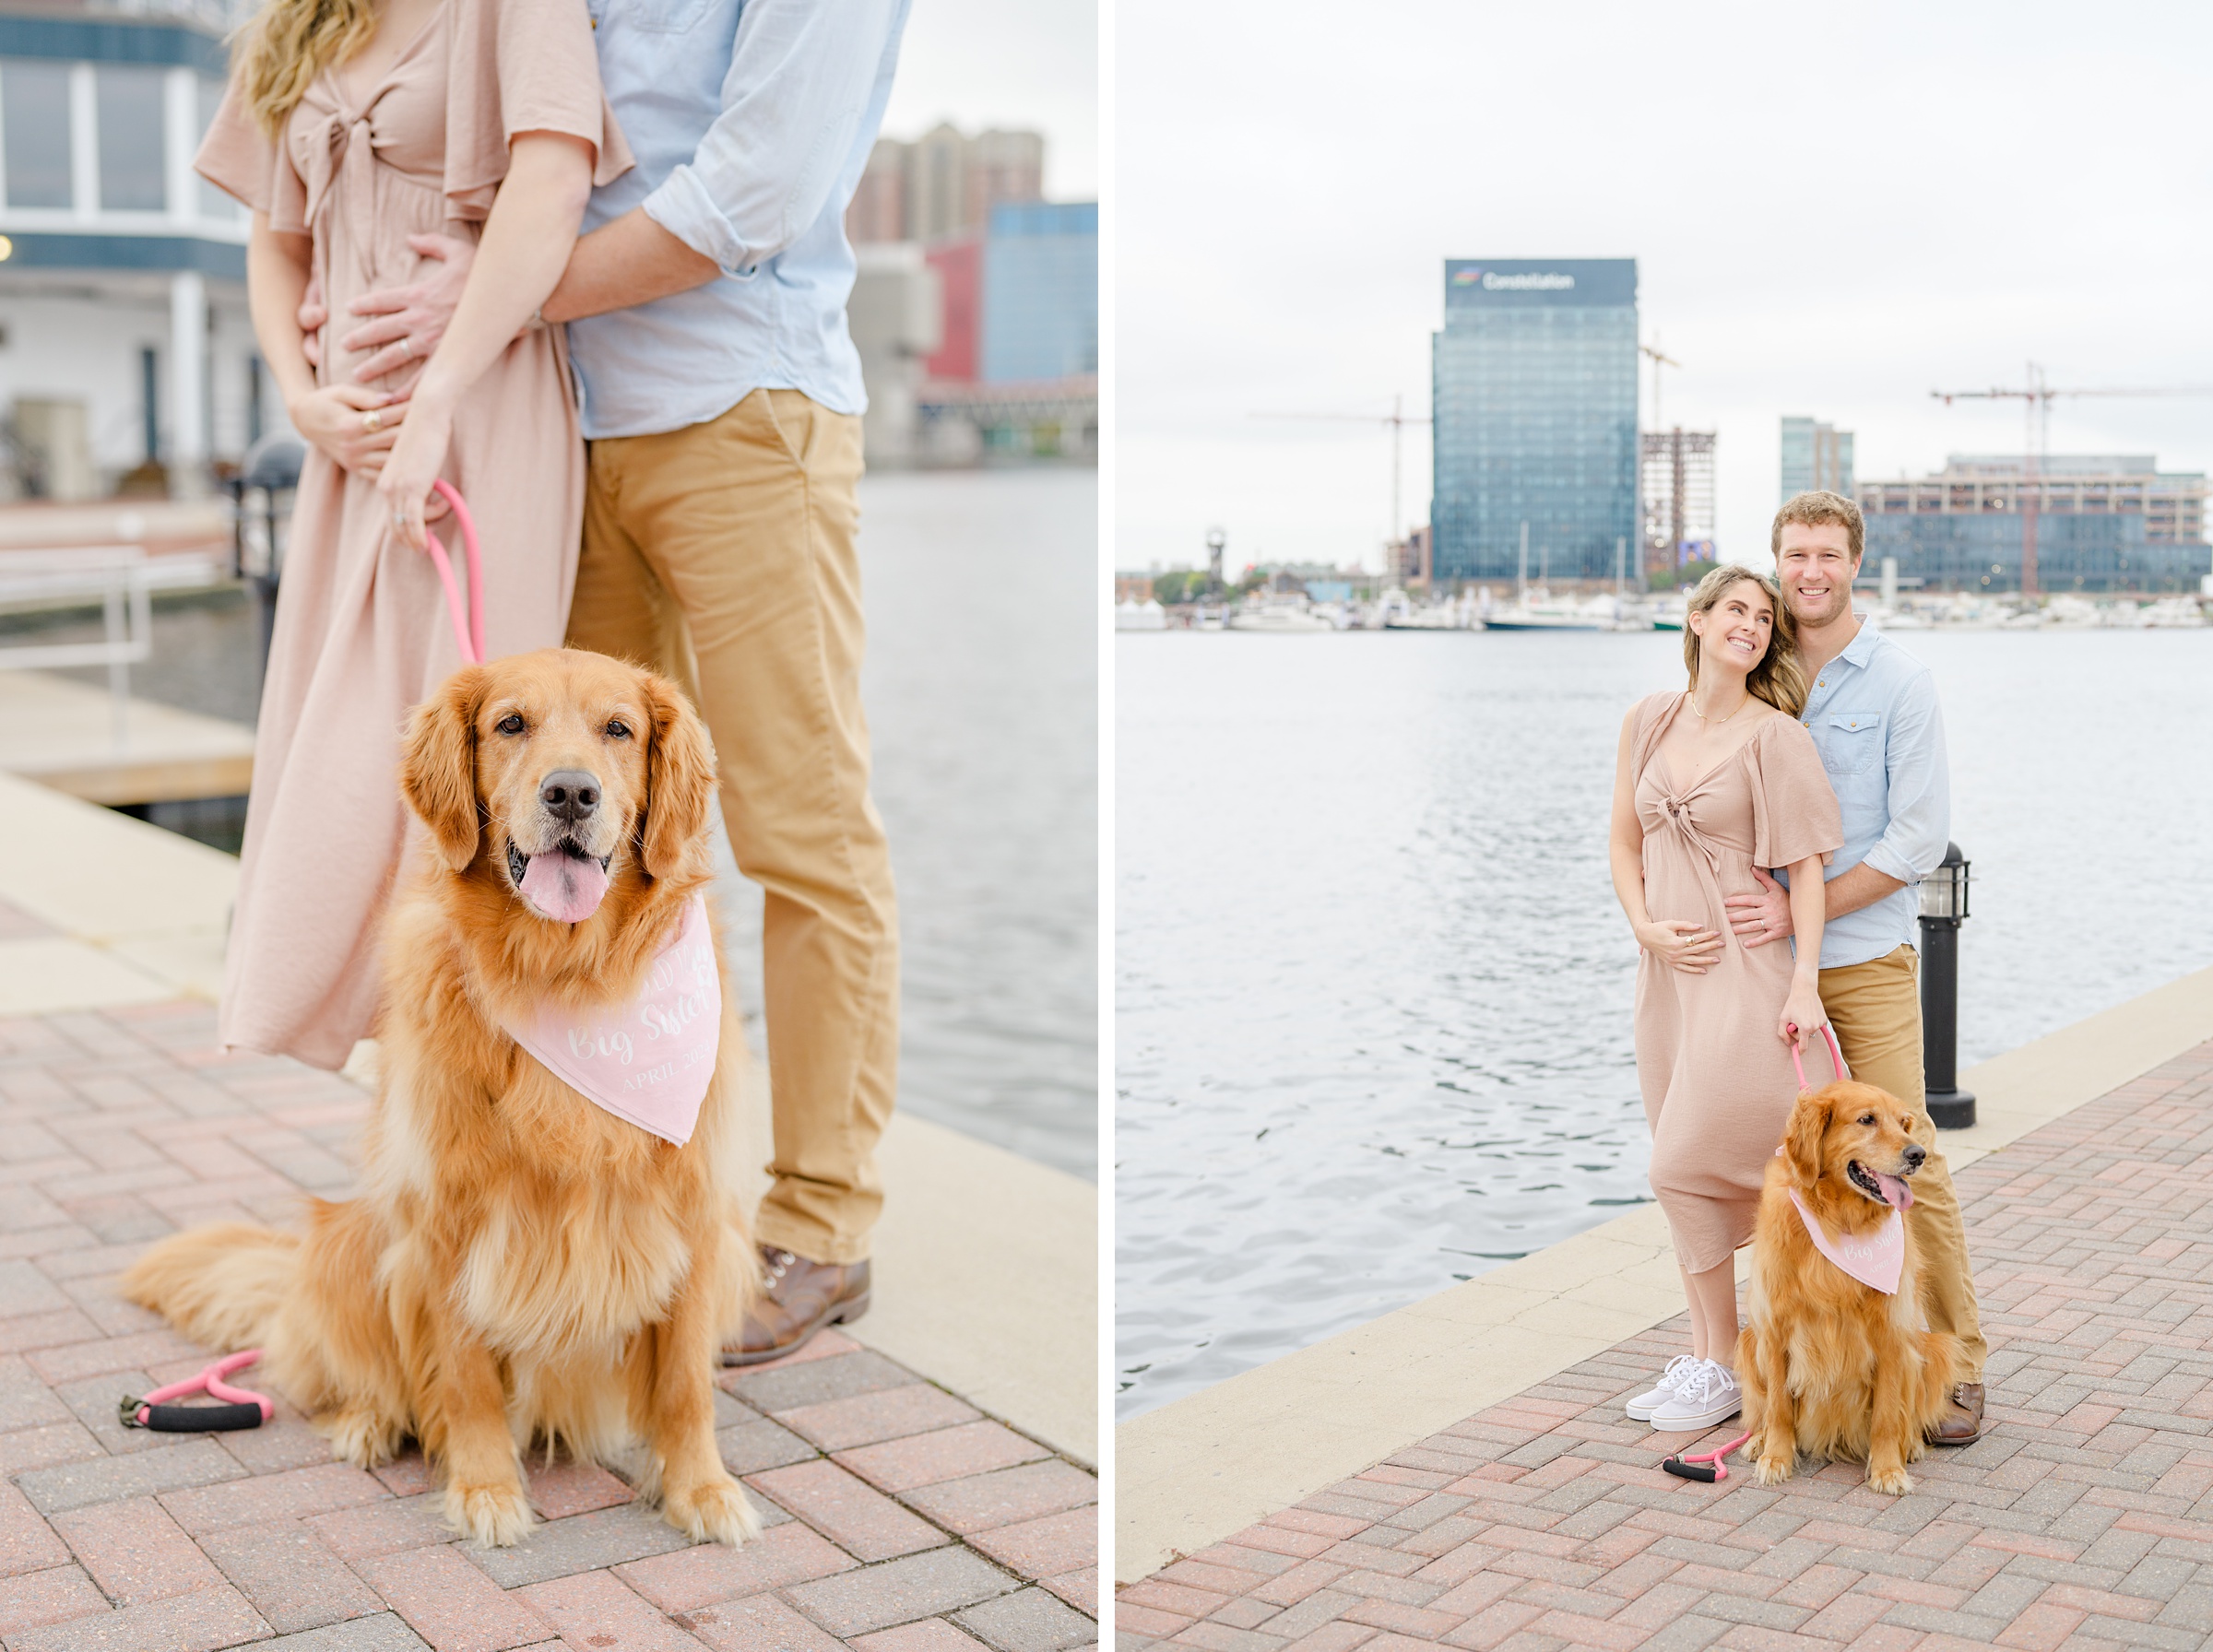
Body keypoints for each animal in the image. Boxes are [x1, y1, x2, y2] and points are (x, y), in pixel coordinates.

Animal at [123, 650, 761, 1548]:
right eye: (511, 724)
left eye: (619, 729)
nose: (571, 794)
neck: (565, 976)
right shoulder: (447, 1219)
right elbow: (465, 1379)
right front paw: (486, 1489)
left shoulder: (697, 1214)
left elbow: (684, 1383)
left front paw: (702, 1490)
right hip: (353, 1238)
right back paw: (367, 1423)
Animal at [1744, 1083, 1956, 1494]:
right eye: (1866, 1119)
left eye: (1903, 1123)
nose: (1918, 1154)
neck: (1838, 1220)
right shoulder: (1775, 1328)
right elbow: (1778, 1406)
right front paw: (1776, 1457)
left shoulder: (1891, 1333)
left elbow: (1888, 1415)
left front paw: (1888, 1469)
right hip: (1748, 1342)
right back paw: (1758, 1440)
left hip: (1931, 1348)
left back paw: (1911, 1445)